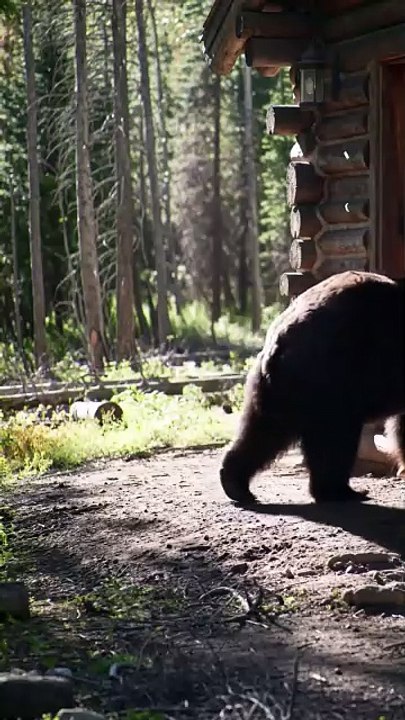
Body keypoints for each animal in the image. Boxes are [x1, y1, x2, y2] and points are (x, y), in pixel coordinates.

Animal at [220, 270, 405, 504]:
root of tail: (280, 340)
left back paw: (236, 485)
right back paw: (342, 491)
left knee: (263, 431)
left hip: (278, 390)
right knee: (334, 439)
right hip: (332, 379)